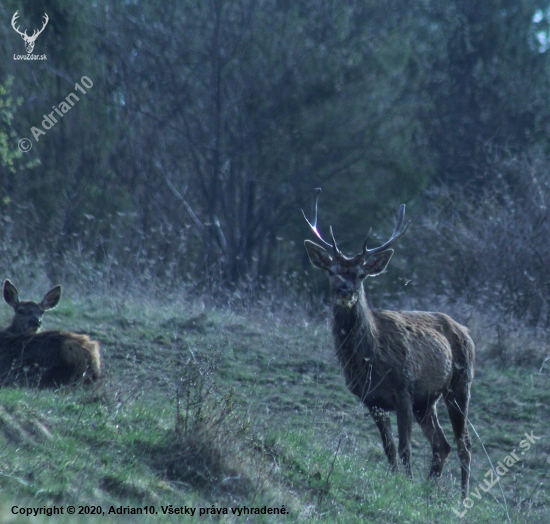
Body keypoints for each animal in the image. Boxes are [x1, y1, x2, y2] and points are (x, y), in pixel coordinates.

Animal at [304, 189, 476, 500]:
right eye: (332, 271)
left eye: (361, 274)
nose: (345, 290)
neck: (369, 360)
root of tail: (466, 332)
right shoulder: (371, 399)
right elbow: (389, 448)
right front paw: (397, 480)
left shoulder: (403, 388)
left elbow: (405, 447)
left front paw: (404, 484)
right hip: (427, 400)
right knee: (441, 444)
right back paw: (429, 488)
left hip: (459, 385)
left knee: (463, 445)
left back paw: (462, 496)